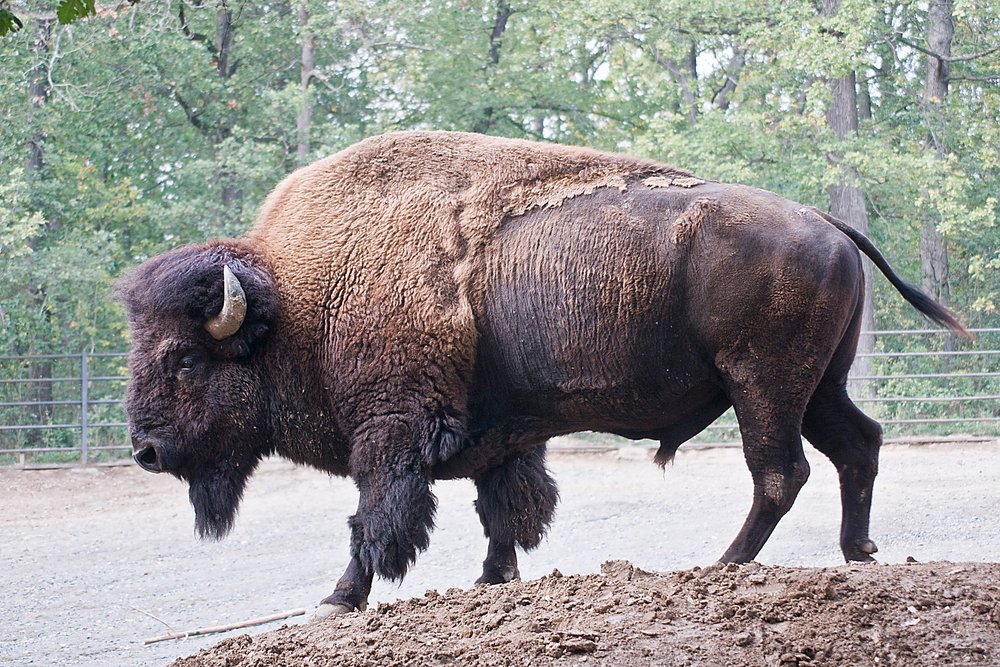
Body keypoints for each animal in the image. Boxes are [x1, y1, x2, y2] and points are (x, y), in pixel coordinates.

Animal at [120, 131, 967, 617]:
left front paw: (337, 599)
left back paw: (724, 565)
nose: (146, 450)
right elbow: (504, 507)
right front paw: (492, 580)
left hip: (763, 383)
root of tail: (826, 221)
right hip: (818, 384)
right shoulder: (502, 432)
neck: (302, 298)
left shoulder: (389, 433)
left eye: (183, 357)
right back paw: (859, 552)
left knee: (780, 471)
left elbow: (376, 518)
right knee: (856, 444)